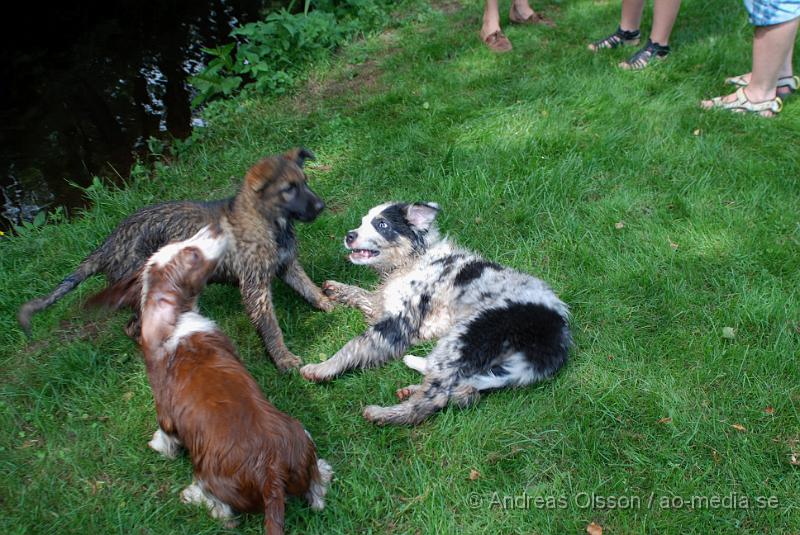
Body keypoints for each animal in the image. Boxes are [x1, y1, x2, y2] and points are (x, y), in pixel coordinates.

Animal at [18, 149, 332, 370]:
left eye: (305, 183)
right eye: (288, 189)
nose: (321, 206)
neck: (269, 222)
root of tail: (108, 246)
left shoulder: (286, 264)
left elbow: (308, 287)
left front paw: (329, 301)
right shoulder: (255, 288)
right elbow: (271, 328)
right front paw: (284, 359)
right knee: (134, 327)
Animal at [90, 228, 332, 532]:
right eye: (189, 251)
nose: (211, 230)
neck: (177, 317)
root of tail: (272, 472)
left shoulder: (164, 411)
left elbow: (165, 435)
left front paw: (158, 447)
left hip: (211, 478)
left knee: (222, 510)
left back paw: (193, 496)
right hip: (301, 438)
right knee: (318, 490)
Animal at [298, 203, 568, 426]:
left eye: (382, 224)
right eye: (363, 221)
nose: (349, 236)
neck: (414, 259)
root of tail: (556, 340)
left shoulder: (398, 323)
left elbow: (355, 345)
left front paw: (323, 368)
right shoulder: (385, 305)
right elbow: (365, 295)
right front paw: (336, 288)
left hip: (466, 336)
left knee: (434, 399)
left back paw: (384, 414)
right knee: (465, 390)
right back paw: (412, 381)